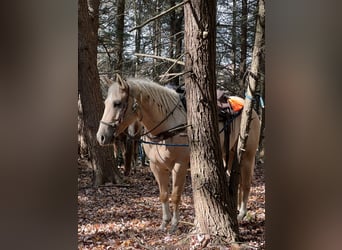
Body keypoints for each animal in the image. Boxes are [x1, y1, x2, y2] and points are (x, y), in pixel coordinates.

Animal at [95, 76, 260, 232]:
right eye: (105, 103)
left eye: (117, 103)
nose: (101, 137)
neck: (166, 128)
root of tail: (249, 108)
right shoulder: (156, 167)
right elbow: (163, 195)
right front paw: (164, 223)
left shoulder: (179, 165)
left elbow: (175, 195)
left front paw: (174, 224)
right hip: (229, 155)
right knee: (236, 181)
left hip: (247, 155)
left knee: (245, 183)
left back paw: (241, 213)